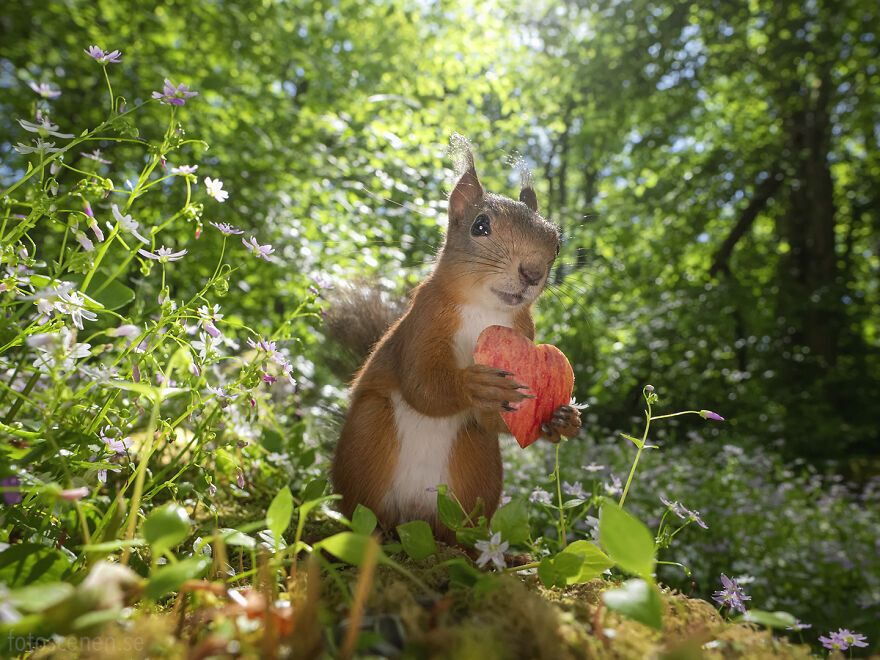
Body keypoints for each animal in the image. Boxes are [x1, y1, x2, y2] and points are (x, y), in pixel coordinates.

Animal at [330, 141, 576, 540]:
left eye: (556, 244)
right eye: (481, 226)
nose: (532, 273)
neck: (484, 310)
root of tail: (411, 519)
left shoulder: (526, 334)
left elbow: (498, 421)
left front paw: (562, 420)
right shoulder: (423, 321)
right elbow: (422, 386)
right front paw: (473, 383)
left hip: (476, 462)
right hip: (368, 437)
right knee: (364, 513)